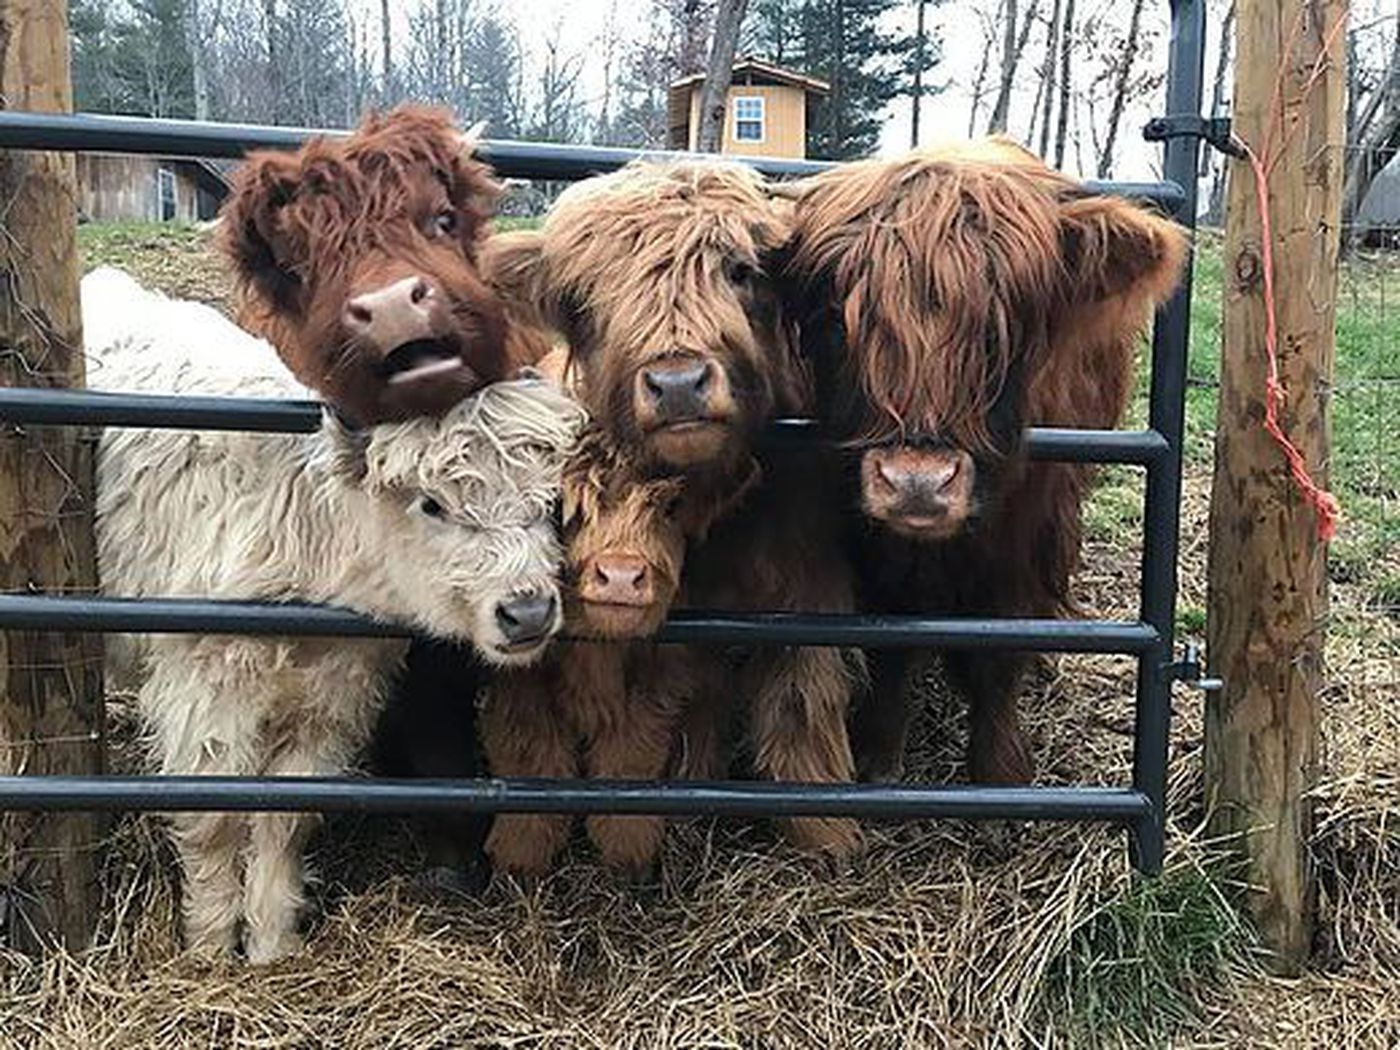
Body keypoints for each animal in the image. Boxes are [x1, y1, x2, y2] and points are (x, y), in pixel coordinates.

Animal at [84, 268, 582, 963]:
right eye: (431, 504)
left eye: (547, 498)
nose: (527, 611)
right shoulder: (203, 696)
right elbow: (213, 819)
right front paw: (209, 949)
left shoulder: (331, 701)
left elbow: (288, 818)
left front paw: (272, 945)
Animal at [487, 162, 868, 856]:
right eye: (586, 296)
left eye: (740, 270)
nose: (677, 384)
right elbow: (696, 701)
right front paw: (691, 788)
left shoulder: (809, 580)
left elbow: (803, 693)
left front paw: (825, 827)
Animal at [784, 133, 1187, 789]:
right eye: (839, 326)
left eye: (1000, 335)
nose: (917, 483)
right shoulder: (875, 546)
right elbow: (890, 644)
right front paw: (879, 757)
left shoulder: (1027, 530)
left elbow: (1002, 650)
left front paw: (1000, 772)